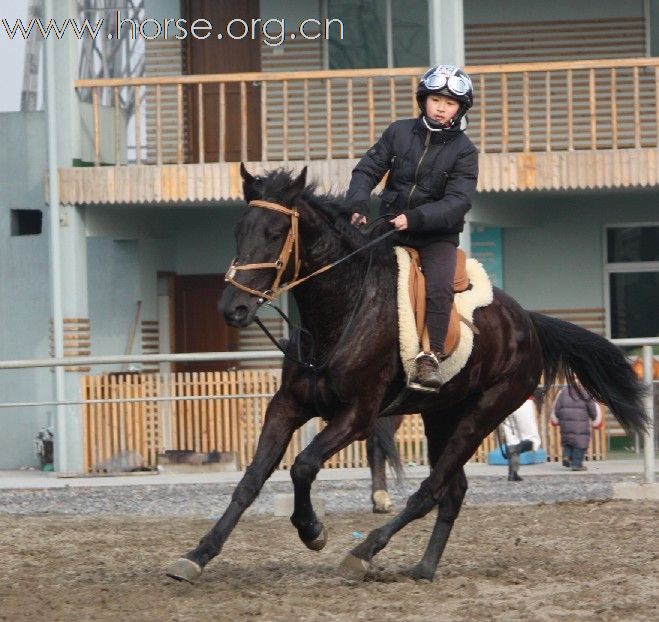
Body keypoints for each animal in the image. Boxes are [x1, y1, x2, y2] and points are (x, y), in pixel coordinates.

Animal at [166, 167, 648, 584]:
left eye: (275, 233)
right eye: (238, 231)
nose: (233, 308)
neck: (341, 311)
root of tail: (527, 321)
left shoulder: (358, 416)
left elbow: (303, 466)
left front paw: (312, 530)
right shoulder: (287, 406)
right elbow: (250, 482)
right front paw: (197, 555)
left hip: (484, 415)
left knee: (431, 490)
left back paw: (363, 553)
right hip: (442, 416)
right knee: (453, 491)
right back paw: (424, 567)